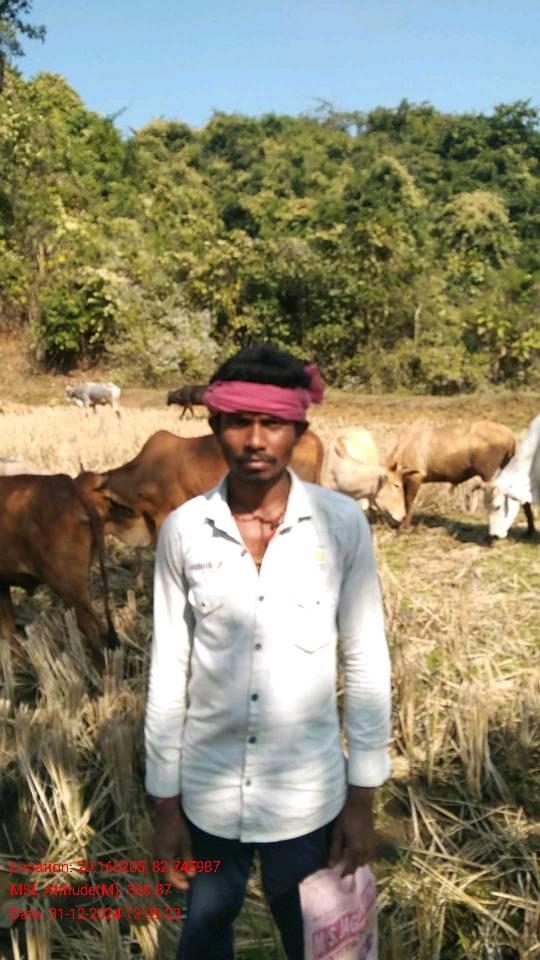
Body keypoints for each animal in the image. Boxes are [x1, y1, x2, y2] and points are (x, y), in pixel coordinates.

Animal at [376, 420, 517, 529]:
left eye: (392, 484)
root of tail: (511, 437)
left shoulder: (416, 477)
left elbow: (408, 503)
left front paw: (404, 527)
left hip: (490, 472)